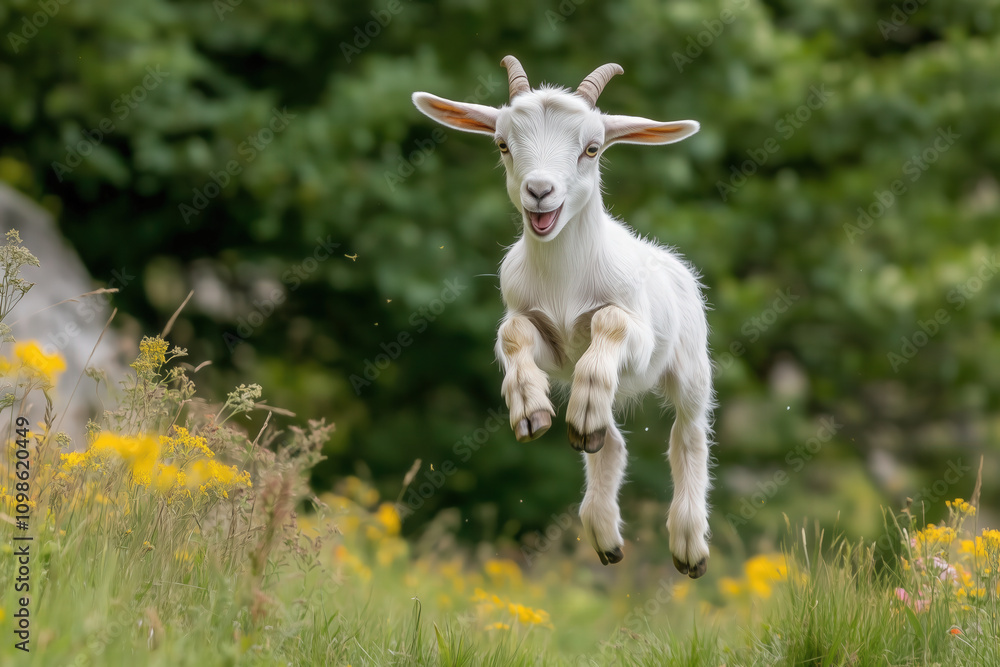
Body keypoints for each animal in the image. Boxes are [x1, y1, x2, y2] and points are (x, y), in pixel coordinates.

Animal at [412, 56, 714, 577]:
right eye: (502, 144)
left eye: (591, 148)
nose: (539, 191)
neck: (565, 284)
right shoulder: (552, 346)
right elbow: (513, 333)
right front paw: (529, 410)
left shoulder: (637, 339)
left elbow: (609, 321)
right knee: (610, 441)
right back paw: (604, 525)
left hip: (690, 363)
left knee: (688, 435)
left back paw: (689, 547)